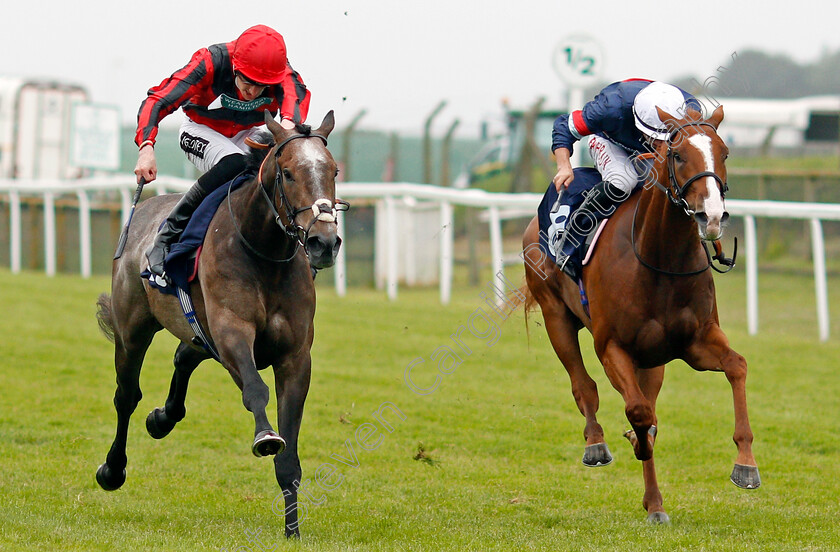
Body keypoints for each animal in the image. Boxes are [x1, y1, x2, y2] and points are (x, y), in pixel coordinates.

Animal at [97, 110, 344, 536]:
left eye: (333, 170)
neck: (263, 251)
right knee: (126, 396)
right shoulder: (232, 333)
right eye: (289, 173)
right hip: (133, 331)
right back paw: (113, 469)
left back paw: (162, 418)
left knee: (183, 356)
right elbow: (256, 390)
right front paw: (265, 436)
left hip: (199, 332)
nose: (324, 242)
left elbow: (289, 454)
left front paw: (292, 531)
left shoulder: (295, 356)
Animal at [520, 105, 756, 524]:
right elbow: (638, 412)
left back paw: (655, 503)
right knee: (584, 386)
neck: (660, 259)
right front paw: (634, 440)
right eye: (678, 155)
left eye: (725, 152)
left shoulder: (696, 343)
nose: (712, 216)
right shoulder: (612, 347)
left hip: (653, 360)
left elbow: (737, 366)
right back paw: (597, 444)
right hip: (555, 315)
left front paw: (745, 463)